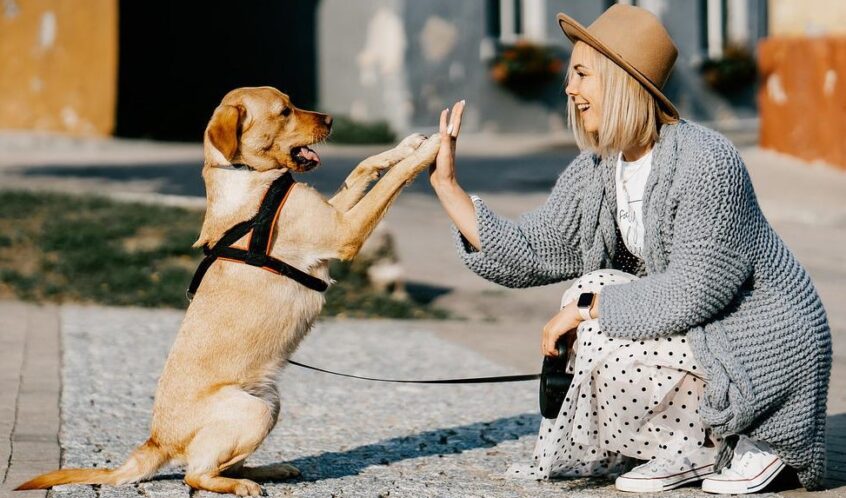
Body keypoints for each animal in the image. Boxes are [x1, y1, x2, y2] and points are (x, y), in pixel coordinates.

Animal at [16, 87, 440, 496]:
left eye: (291, 103)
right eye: (284, 111)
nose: (332, 119)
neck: (248, 177)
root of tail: (156, 441)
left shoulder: (334, 213)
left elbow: (364, 166)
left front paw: (407, 145)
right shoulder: (343, 231)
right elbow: (391, 181)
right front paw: (432, 149)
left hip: (270, 403)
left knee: (221, 464)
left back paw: (269, 470)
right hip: (253, 411)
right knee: (196, 474)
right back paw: (242, 485)